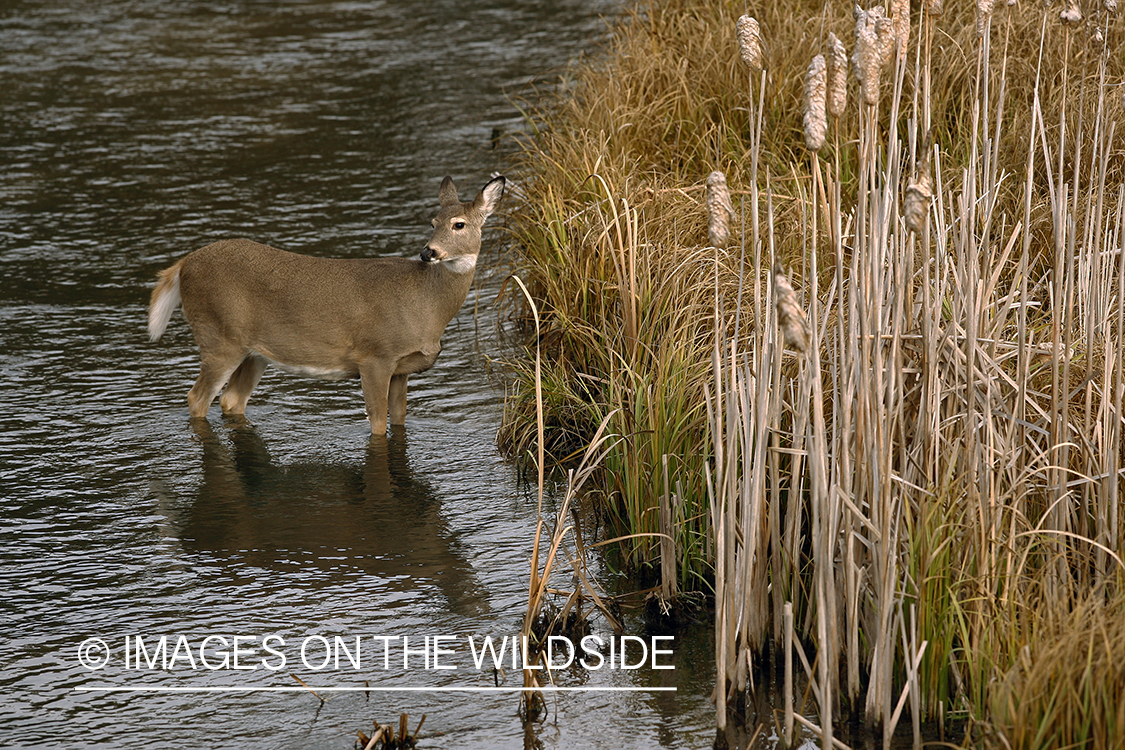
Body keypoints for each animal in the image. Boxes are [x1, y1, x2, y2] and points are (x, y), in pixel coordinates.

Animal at [146, 174, 506, 436]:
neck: (427, 305)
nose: (428, 252)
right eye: (433, 223)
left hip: (254, 352)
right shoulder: (374, 355)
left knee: (232, 400)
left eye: (459, 224)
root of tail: (182, 266)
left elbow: (399, 420)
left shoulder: (402, 368)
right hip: (219, 336)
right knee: (197, 399)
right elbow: (377, 425)